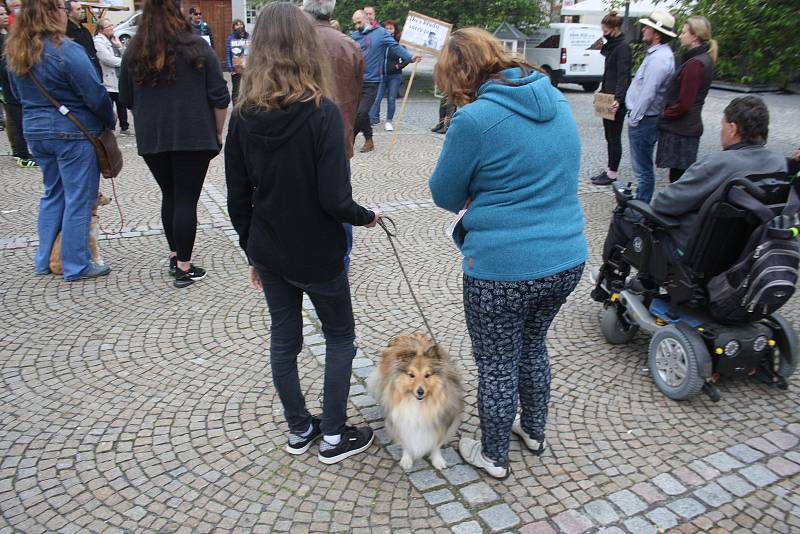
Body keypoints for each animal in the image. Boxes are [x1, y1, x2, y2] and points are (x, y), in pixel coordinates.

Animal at [368, 332, 462, 472]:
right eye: (411, 375)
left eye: (427, 375)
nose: (420, 392)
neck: (419, 404)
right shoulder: (401, 421)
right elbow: (406, 441)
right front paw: (406, 460)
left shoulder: (442, 421)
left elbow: (436, 444)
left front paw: (438, 461)